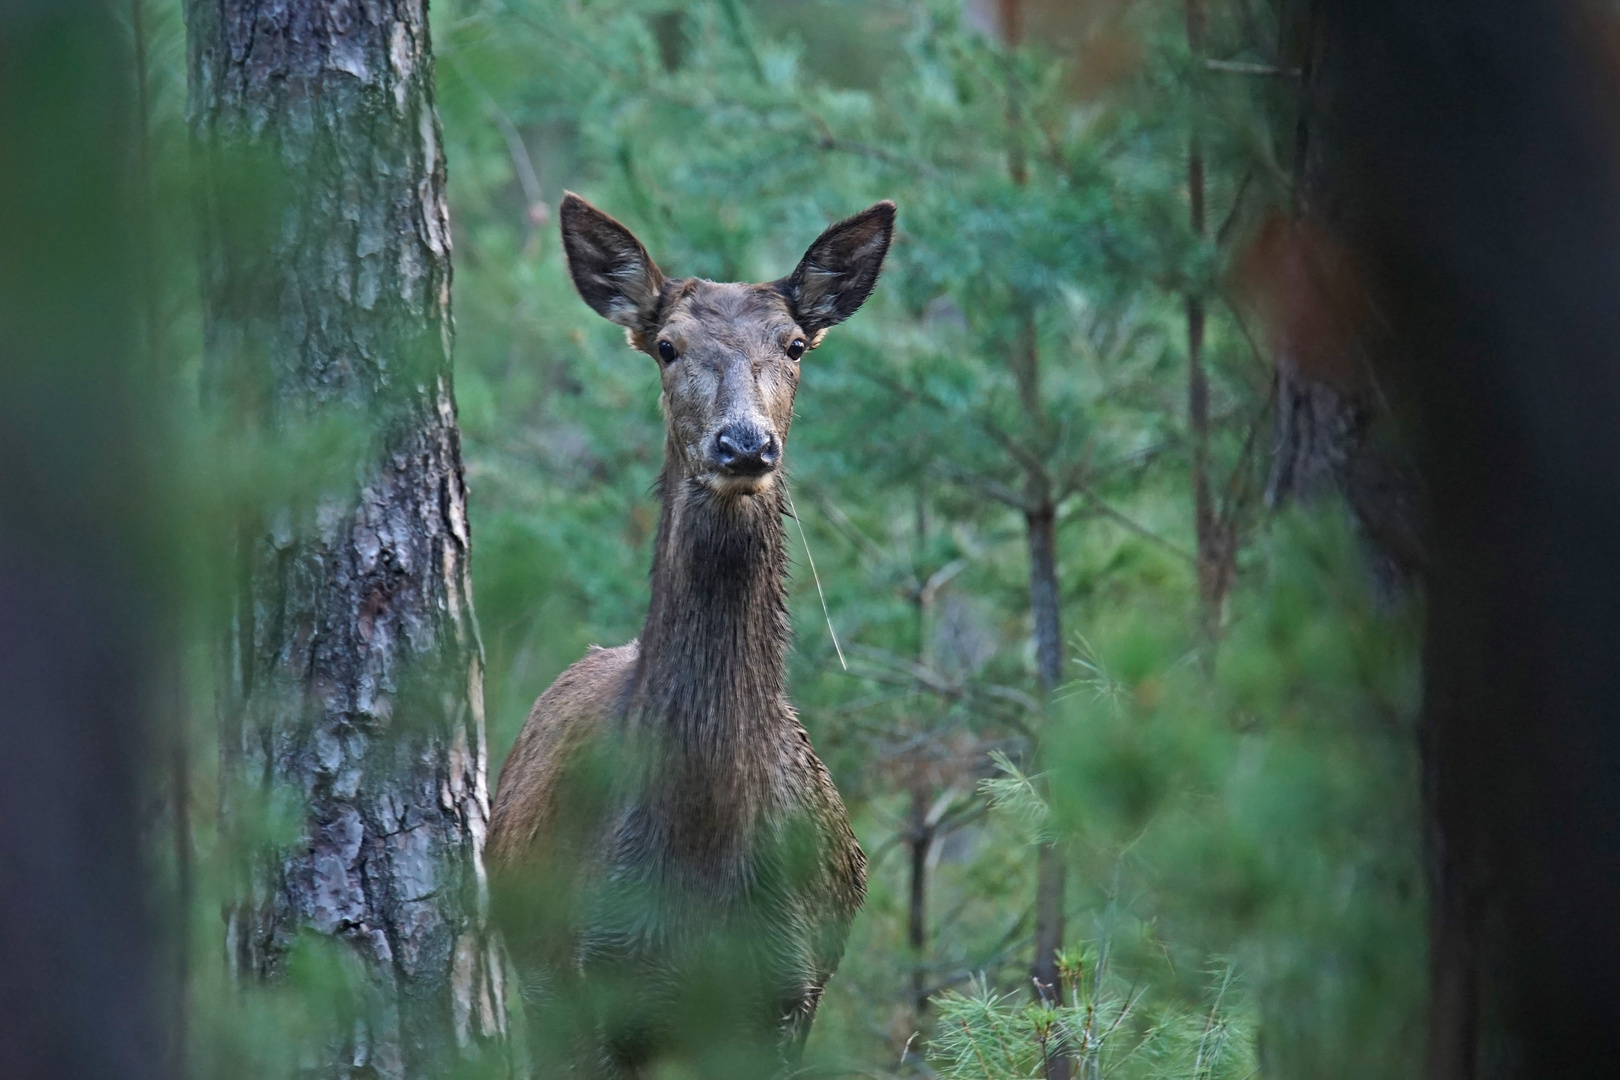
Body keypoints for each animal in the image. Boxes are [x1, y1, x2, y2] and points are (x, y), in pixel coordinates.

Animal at [489, 190, 900, 1075]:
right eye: (667, 346)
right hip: (537, 977)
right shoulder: (594, 980)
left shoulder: (789, 991)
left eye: (794, 344)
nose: (744, 443)